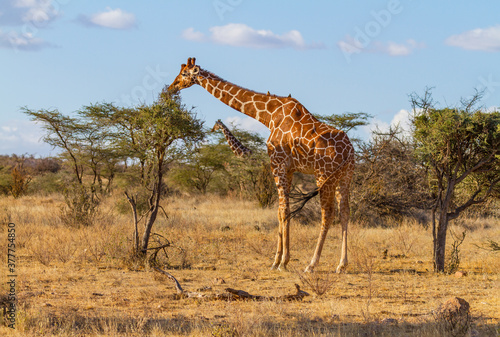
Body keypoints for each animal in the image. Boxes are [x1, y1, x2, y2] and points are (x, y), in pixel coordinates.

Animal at [170, 57, 354, 272]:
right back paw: (342, 264)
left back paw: (312, 264)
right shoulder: (289, 169)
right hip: (345, 176)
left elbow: (284, 211)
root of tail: (350, 151)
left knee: (327, 214)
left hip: (323, 175)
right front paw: (278, 259)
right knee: (345, 212)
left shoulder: (278, 164)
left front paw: (282, 261)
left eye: (184, 73)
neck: (268, 115)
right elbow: (280, 211)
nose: (172, 87)